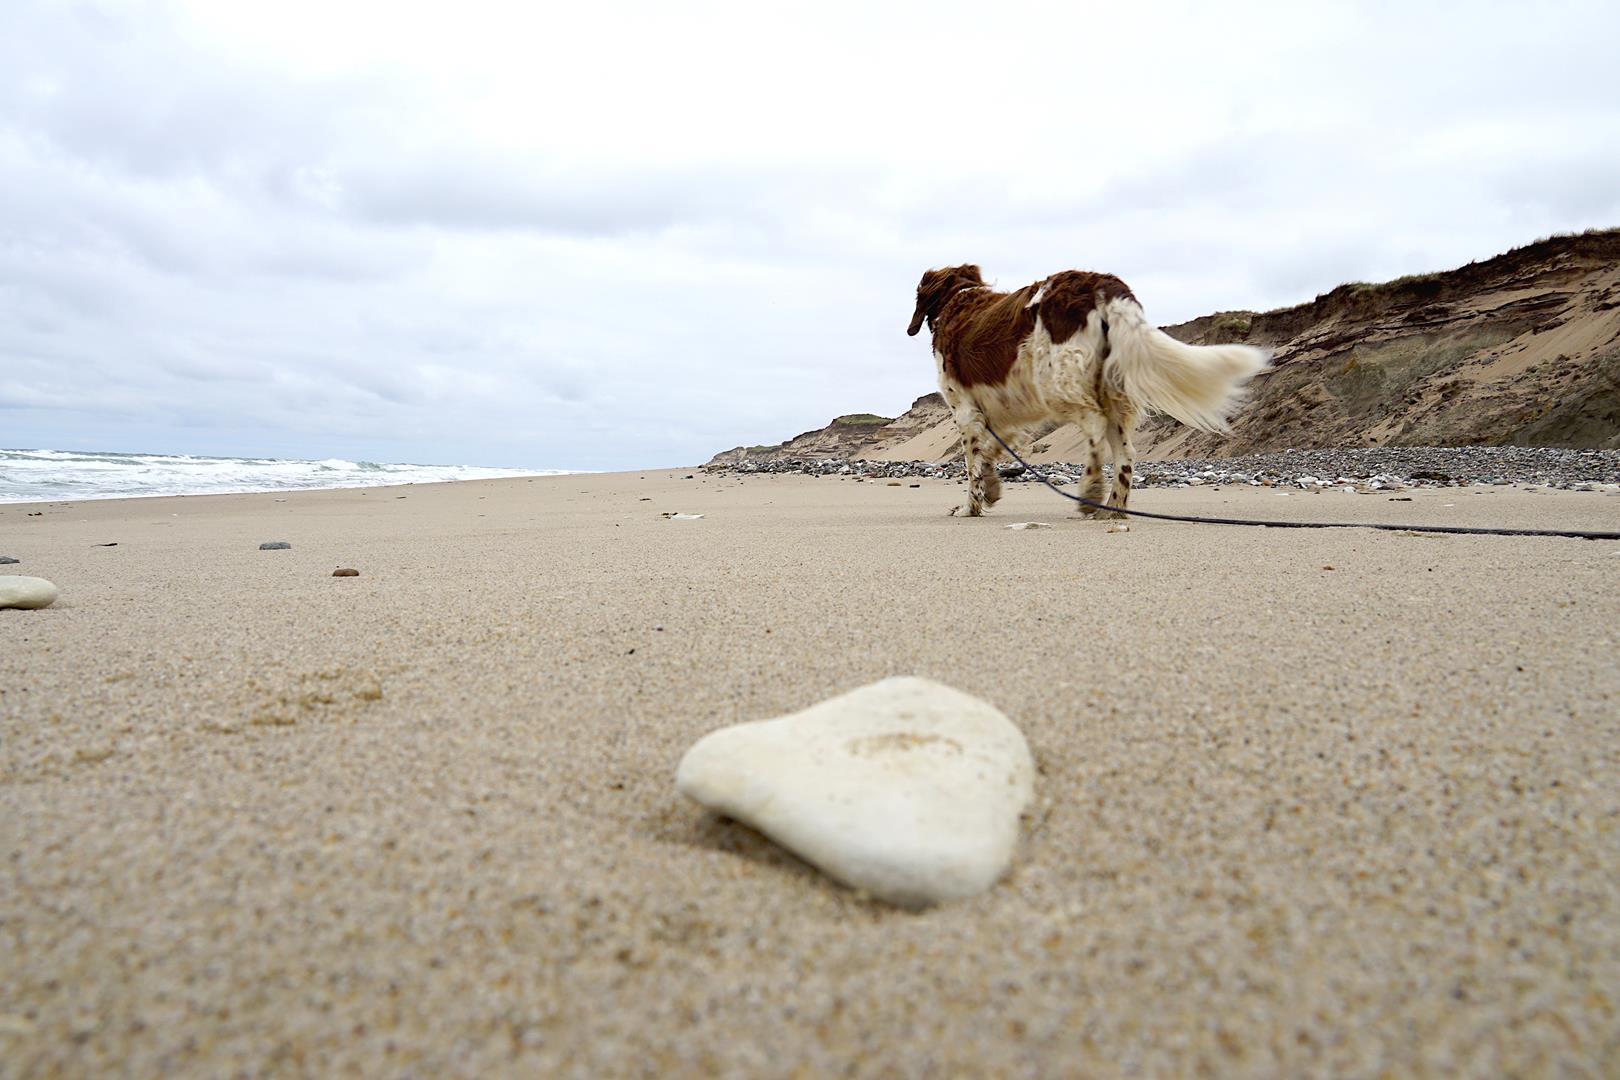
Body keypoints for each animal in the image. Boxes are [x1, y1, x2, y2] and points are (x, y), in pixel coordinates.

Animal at [913, 265, 1263, 518]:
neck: (959, 299)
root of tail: (1105, 286)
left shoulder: (965, 411)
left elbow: (972, 463)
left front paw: (969, 507)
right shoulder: (1005, 416)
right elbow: (989, 451)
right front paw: (993, 490)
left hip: (1058, 385)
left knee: (1094, 427)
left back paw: (1090, 493)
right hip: (1111, 394)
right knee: (1125, 454)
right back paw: (1113, 509)